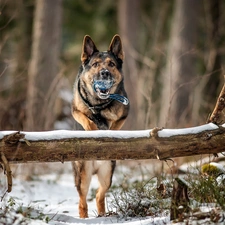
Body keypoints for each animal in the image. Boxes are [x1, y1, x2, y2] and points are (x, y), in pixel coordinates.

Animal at [71, 35, 129, 218]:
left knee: (99, 195)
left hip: (107, 175)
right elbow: (87, 120)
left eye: (111, 64)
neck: (99, 104)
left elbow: (114, 127)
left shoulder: (123, 115)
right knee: (82, 201)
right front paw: (93, 131)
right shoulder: (75, 110)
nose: (105, 73)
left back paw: (103, 215)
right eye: (96, 64)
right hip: (83, 176)